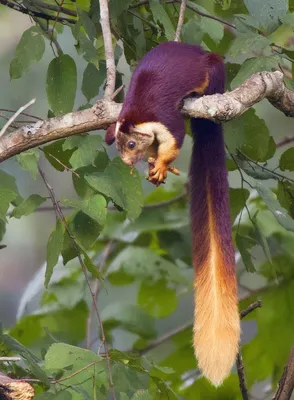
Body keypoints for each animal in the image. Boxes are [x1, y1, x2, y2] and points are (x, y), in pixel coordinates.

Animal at [104, 41, 240, 388]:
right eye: (120, 148)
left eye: (132, 144)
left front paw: (162, 164)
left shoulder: (166, 121)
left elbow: (175, 139)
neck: (137, 113)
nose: (128, 162)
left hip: (214, 70)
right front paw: (155, 166)